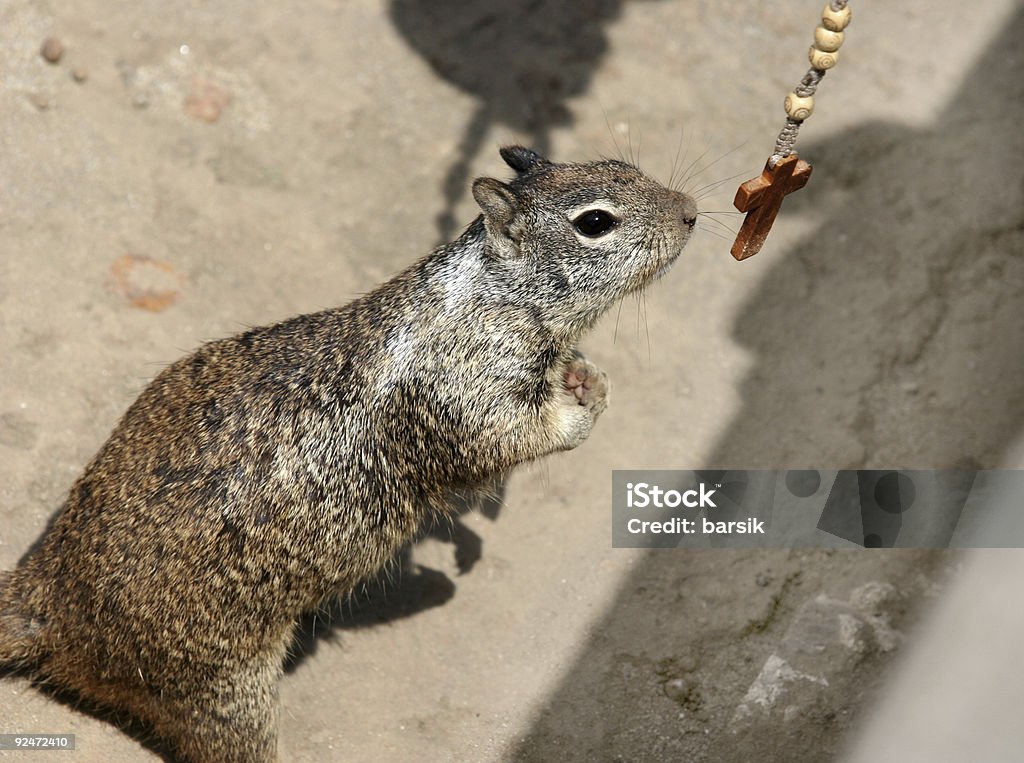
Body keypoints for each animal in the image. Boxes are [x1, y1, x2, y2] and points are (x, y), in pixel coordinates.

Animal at [0, 145, 696, 757]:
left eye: (623, 163)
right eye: (595, 222)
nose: (690, 211)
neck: (490, 297)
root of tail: (48, 603)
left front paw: (585, 376)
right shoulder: (470, 397)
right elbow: (510, 439)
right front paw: (580, 408)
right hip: (223, 695)